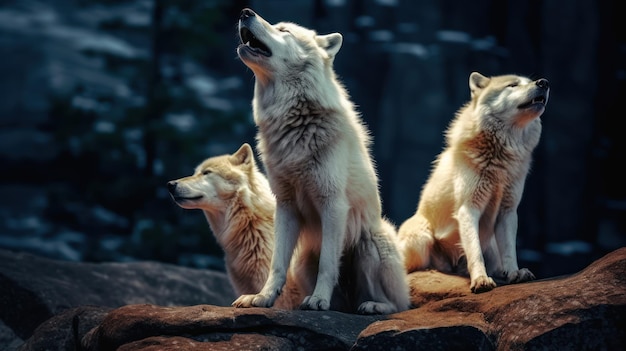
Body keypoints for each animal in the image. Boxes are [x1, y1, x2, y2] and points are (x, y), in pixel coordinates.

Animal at [229, 7, 410, 314]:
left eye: (284, 30)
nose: (245, 12)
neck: (295, 119)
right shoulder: (285, 206)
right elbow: (276, 265)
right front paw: (262, 297)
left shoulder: (333, 204)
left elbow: (328, 264)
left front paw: (318, 300)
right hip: (303, 261)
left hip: (371, 240)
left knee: (398, 304)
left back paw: (372, 306)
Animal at [398, 71, 548, 294]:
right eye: (512, 85)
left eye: (529, 81)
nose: (544, 83)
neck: (501, 158)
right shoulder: (468, 209)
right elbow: (474, 251)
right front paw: (480, 280)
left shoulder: (508, 212)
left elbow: (510, 250)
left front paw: (515, 273)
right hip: (420, 239)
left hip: (491, 248)